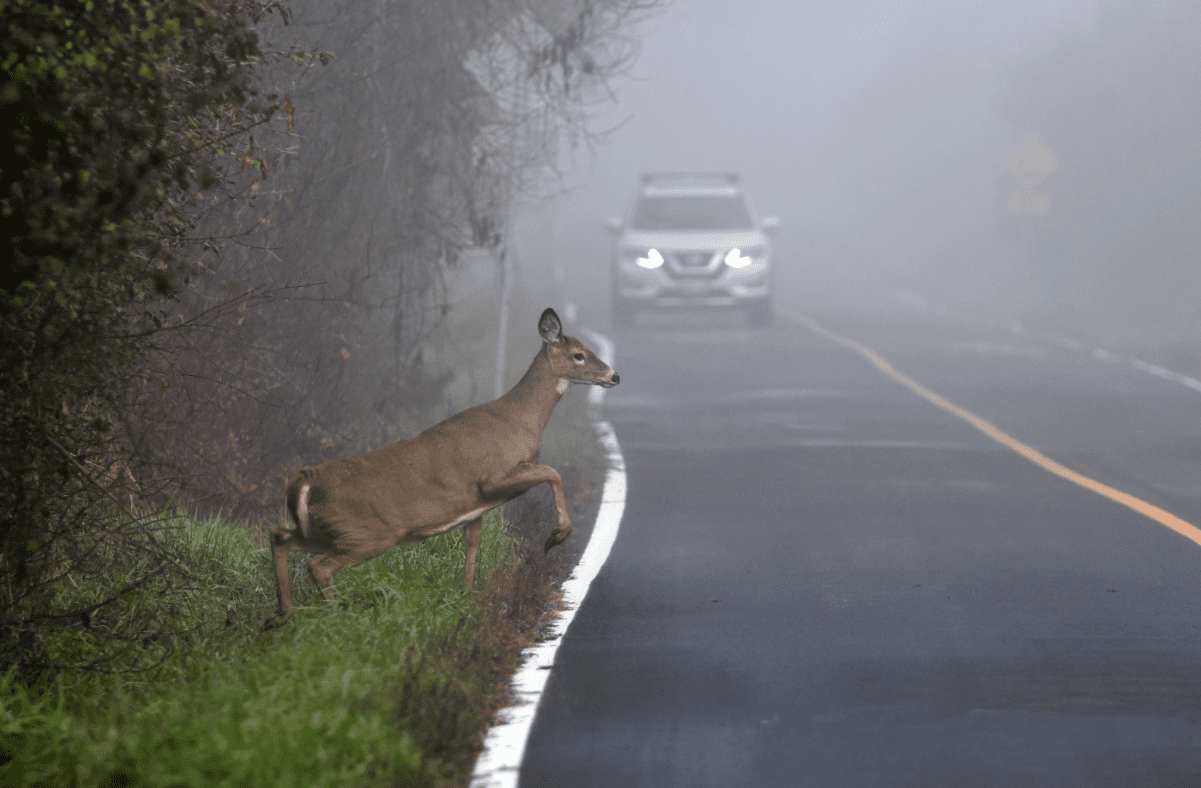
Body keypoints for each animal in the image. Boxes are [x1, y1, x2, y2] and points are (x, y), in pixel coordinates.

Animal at [264, 307, 619, 629]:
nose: (614, 376)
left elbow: (473, 545)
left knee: (281, 537)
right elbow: (552, 472)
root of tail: (304, 482)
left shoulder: (476, 507)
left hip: (327, 530)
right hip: (368, 533)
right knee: (319, 566)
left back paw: (283, 615)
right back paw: (337, 619)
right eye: (578, 355)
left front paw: (467, 599)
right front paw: (556, 537)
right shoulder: (493, 477)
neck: (522, 420)